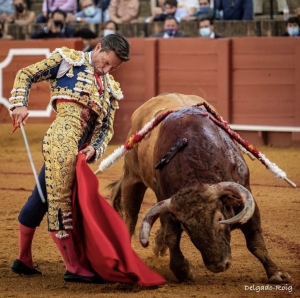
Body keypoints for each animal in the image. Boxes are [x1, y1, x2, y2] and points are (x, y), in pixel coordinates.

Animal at [109, 92, 290, 282]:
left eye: (220, 218)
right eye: (187, 227)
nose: (218, 266)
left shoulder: (246, 195)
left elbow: (255, 240)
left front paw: (276, 273)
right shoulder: (165, 201)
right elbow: (171, 236)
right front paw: (183, 270)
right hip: (132, 180)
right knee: (130, 219)